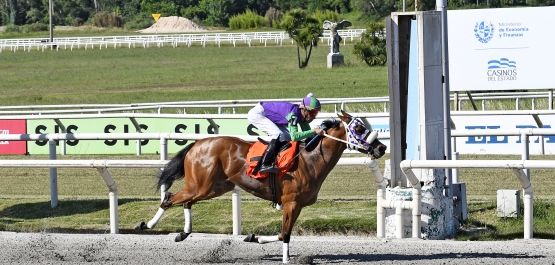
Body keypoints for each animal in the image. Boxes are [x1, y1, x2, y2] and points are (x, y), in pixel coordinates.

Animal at [135, 109, 386, 262]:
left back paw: (183, 233)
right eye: (359, 129)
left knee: (186, 201)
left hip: (214, 187)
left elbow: (284, 233)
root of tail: (196, 144)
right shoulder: (291, 202)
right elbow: (285, 234)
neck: (310, 159)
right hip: (202, 185)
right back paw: (147, 225)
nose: (382, 148)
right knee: (170, 198)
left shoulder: (296, 205)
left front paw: (254, 238)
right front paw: (282, 258)